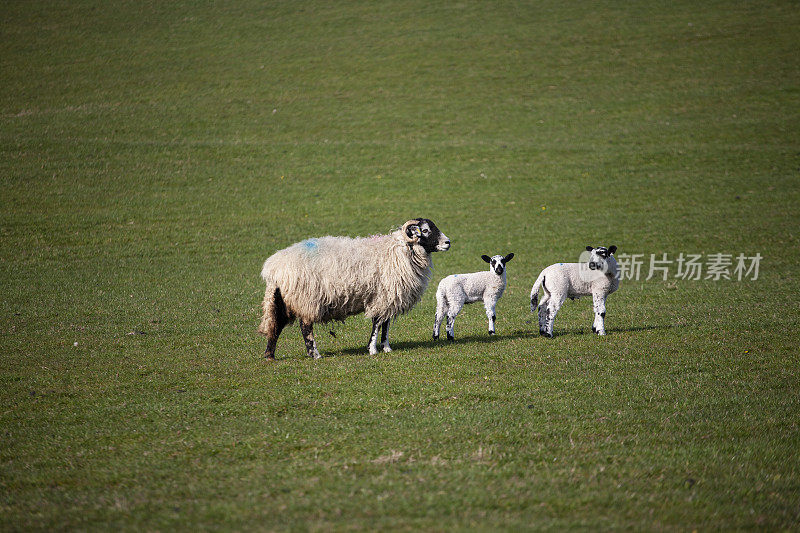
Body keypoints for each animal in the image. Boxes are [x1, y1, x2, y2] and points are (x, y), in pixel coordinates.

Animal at [260, 218, 450, 360]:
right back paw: (315, 354)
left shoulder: (389, 298)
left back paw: (270, 355)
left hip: (283, 300)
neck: (400, 251)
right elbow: (377, 323)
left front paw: (386, 347)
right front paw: (372, 349)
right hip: (307, 298)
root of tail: (273, 267)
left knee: (276, 325)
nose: (448, 243)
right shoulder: (382, 296)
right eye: (425, 230)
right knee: (305, 327)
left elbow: (386, 324)